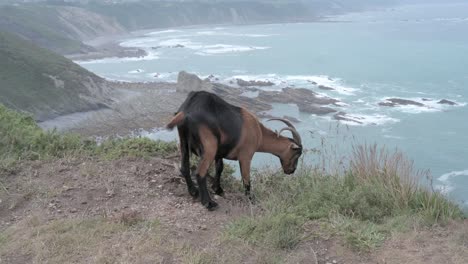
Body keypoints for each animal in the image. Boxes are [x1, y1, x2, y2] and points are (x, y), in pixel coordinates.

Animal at [166, 91, 302, 210]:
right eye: (297, 154)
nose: (292, 170)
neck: (260, 133)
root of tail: (186, 111)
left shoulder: (219, 152)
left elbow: (220, 168)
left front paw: (218, 189)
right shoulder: (246, 156)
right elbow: (246, 179)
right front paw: (251, 198)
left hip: (184, 141)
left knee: (184, 167)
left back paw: (194, 191)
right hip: (209, 146)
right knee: (200, 173)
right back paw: (209, 203)